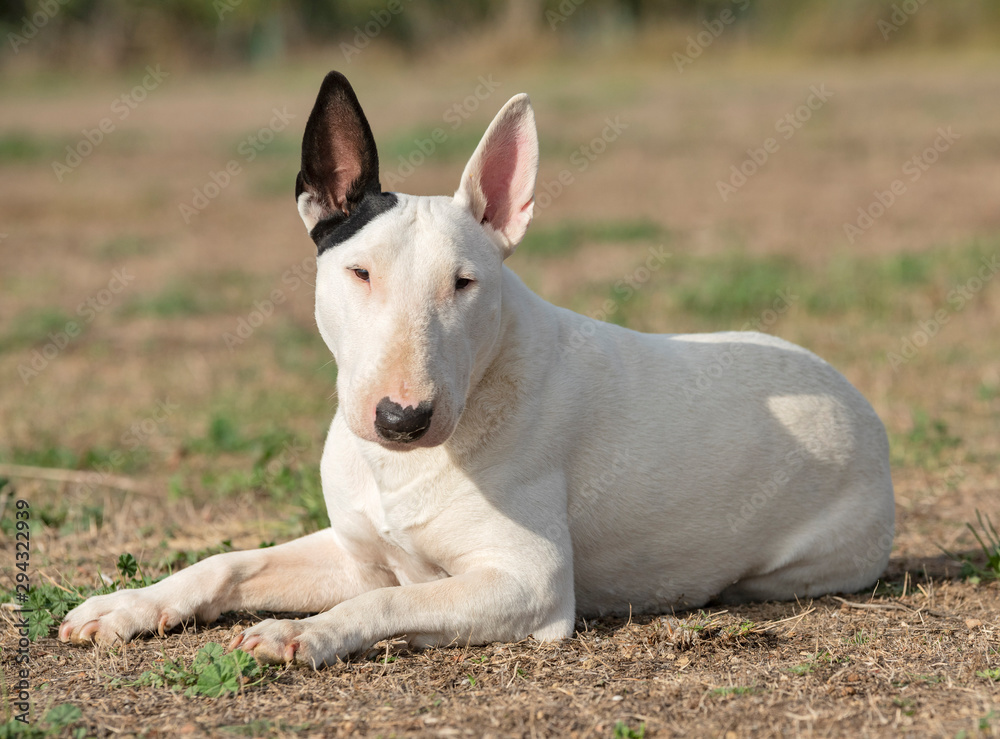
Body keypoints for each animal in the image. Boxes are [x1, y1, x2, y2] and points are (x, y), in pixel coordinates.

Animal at [59, 71, 895, 667]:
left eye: (465, 283)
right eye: (359, 272)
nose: (402, 419)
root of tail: (856, 398)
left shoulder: (528, 580)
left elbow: (388, 605)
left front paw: (306, 633)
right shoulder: (358, 551)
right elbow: (230, 561)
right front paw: (126, 605)